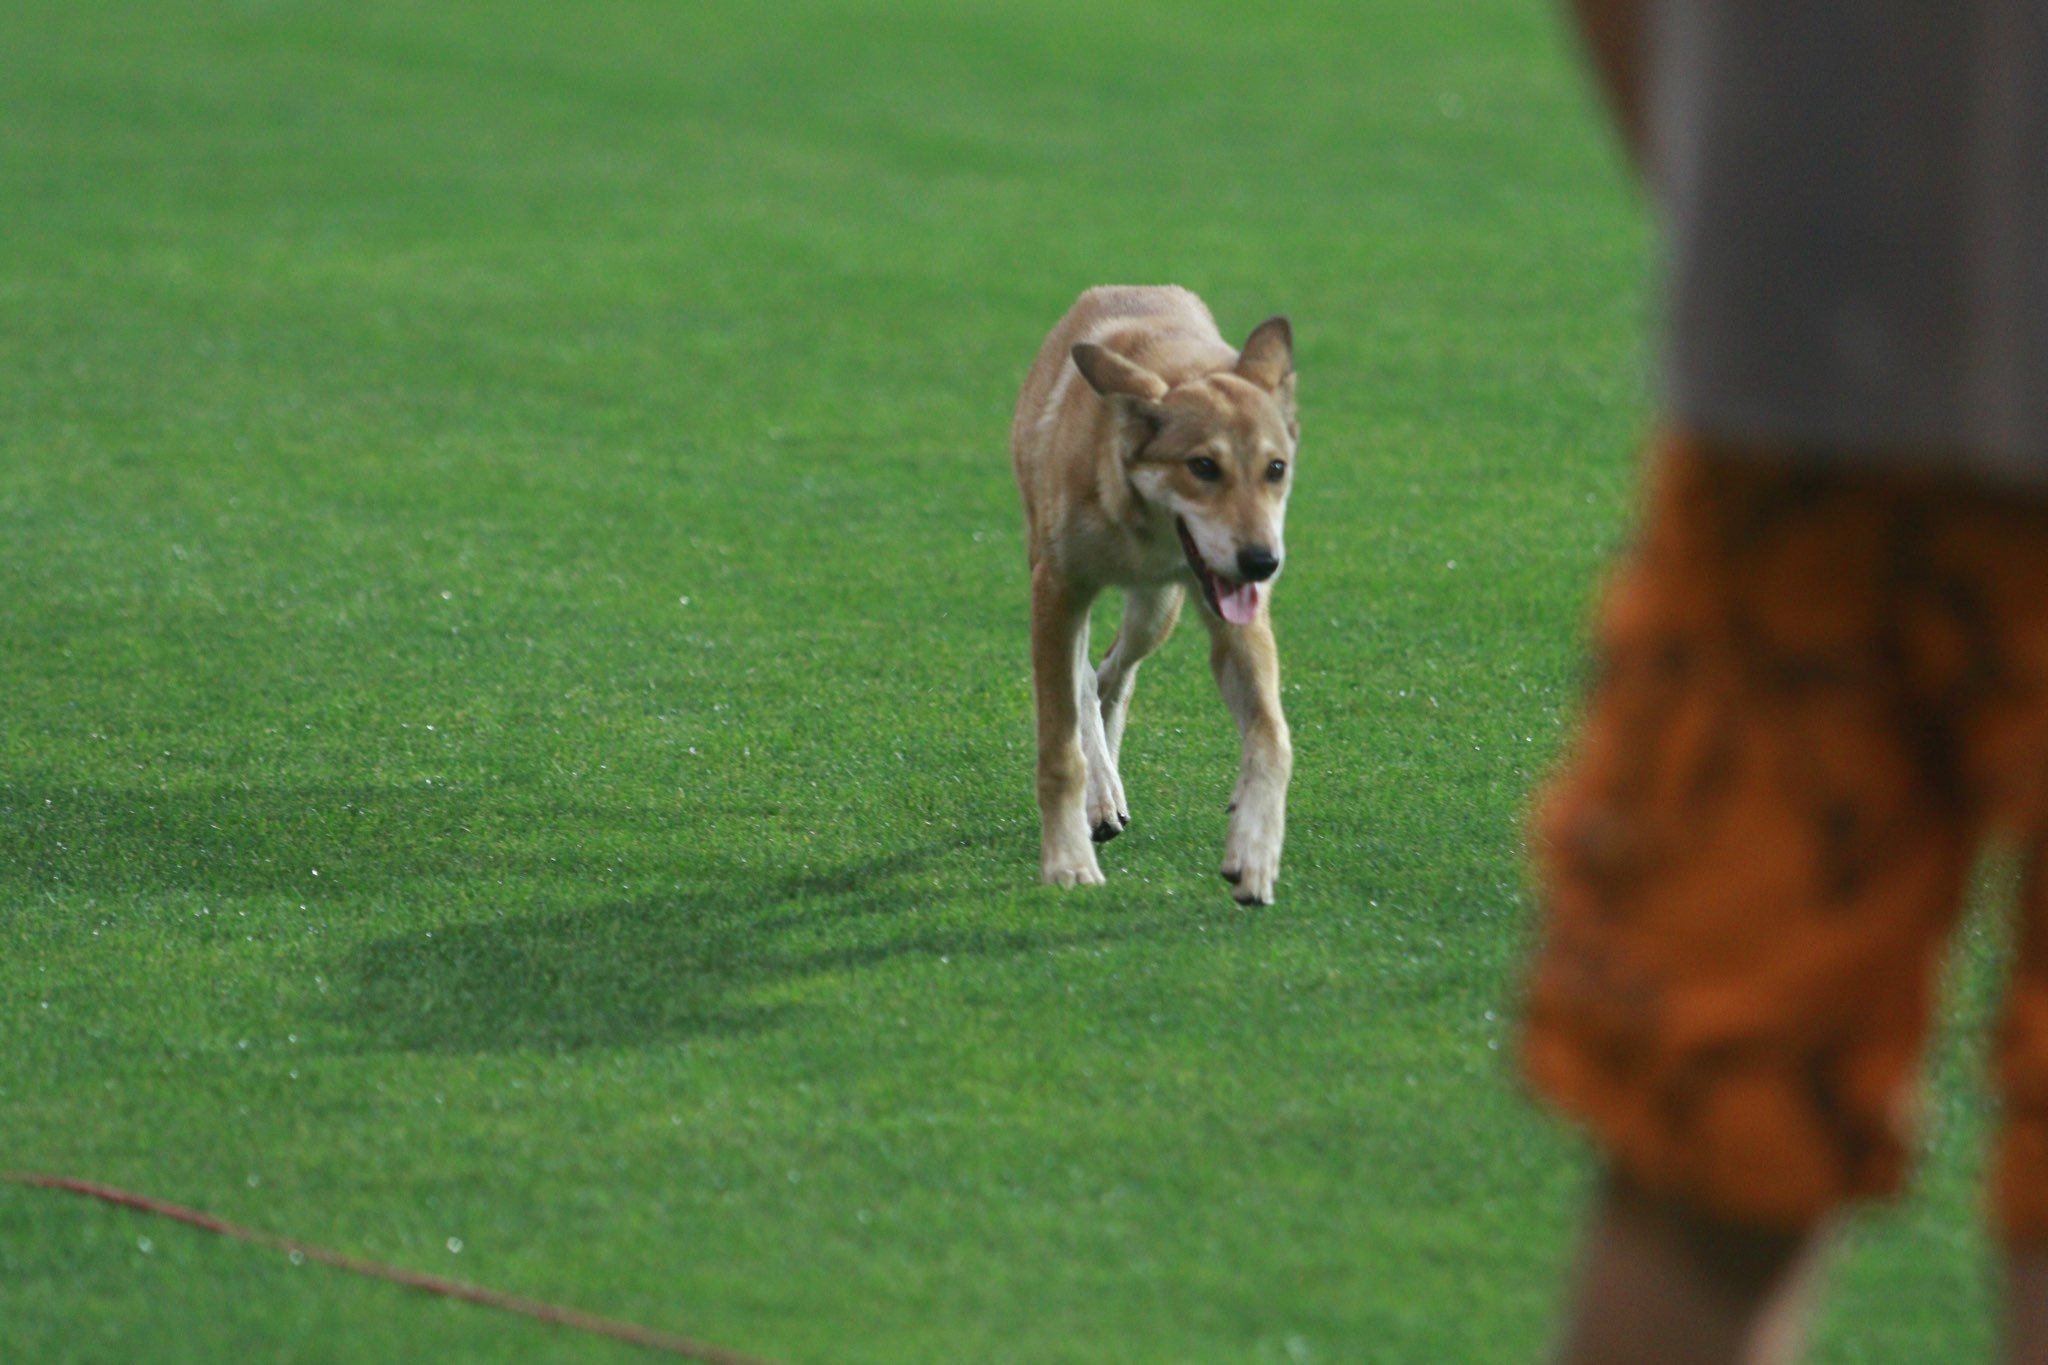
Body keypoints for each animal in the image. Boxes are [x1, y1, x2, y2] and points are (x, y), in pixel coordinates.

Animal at [1007, 286, 1294, 908]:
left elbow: (1271, 736)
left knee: (1111, 675)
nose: (1263, 561)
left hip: (1158, 610)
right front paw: (1068, 864)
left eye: (1275, 468)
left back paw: (1107, 794)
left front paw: (1253, 854)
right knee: (1085, 681)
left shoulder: (1232, 615)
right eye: (1203, 466)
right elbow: (1059, 747)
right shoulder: (1056, 589)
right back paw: (1099, 798)